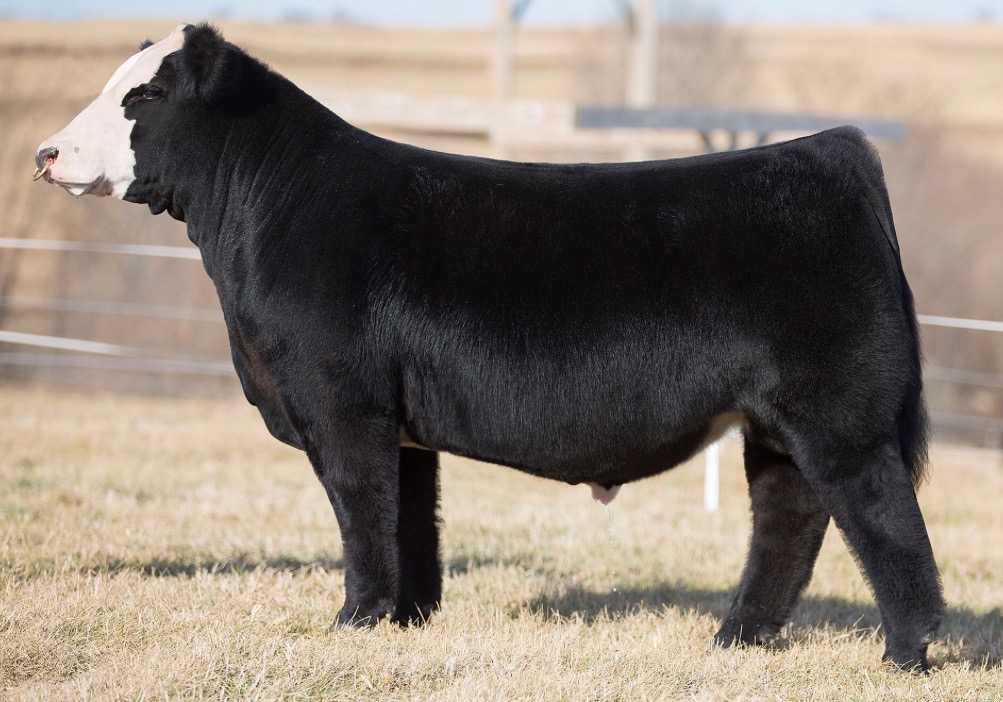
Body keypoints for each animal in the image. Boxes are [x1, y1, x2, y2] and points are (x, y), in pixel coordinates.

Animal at [34, 24, 944, 671]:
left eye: (145, 94)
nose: (45, 152)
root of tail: (829, 147)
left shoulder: (341, 407)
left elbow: (361, 514)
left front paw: (352, 621)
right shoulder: (396, 422)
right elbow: (410, 521)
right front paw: (403, 622)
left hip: (837, 416)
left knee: (881, 519)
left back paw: (908, 653)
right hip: (775, 424)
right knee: (788, 517)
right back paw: (737, 639)